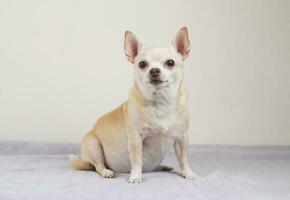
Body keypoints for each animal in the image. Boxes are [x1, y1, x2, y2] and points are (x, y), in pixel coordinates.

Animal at [69, 26, 198, 183]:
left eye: (170, 63)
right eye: (142, 64)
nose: (154, 70)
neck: (160, 102)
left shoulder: (182, 138)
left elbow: (184, 160)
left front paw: (188, 173)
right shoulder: (136, 139)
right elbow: (137, 160)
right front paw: (136, 176)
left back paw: (162, 166)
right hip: (93, 145)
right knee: (98, 166)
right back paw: (107, 171)